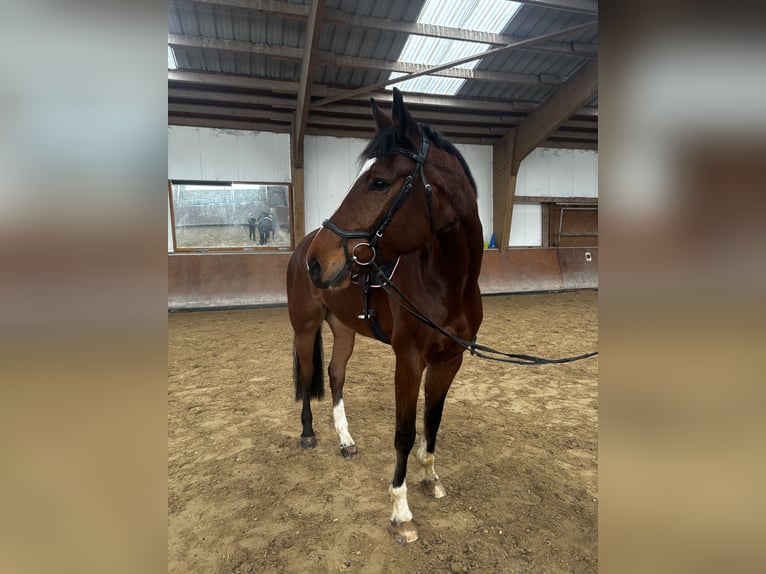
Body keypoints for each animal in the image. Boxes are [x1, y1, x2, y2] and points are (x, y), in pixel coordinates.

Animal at [286, 88, 484, 544]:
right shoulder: (408, 360)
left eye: (378, 182)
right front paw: (401, 511)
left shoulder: (449, 360)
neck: (448, 284)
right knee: (308, 373)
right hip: (305, 328)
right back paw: (308, 434)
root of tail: (299, 248)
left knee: (335, 374)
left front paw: (431, 478)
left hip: (344, 331)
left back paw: (345, 440)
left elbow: (433, 421)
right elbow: (405, 432)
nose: (318, 262)